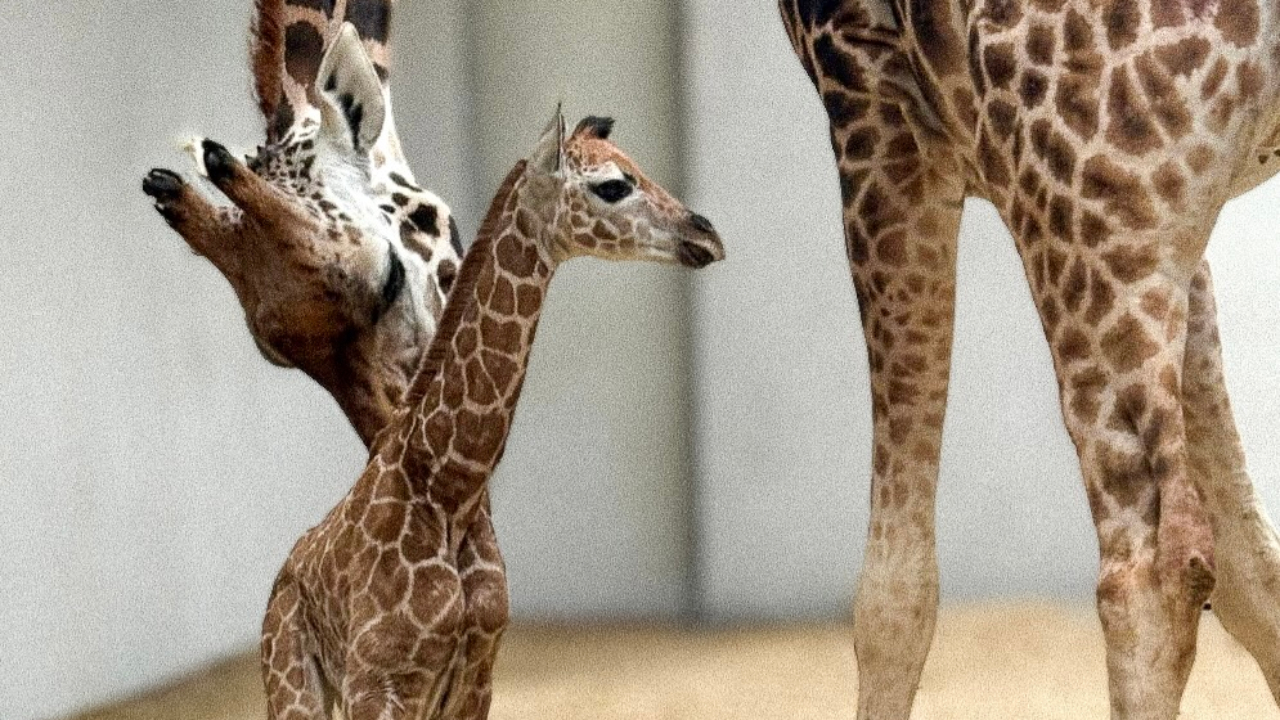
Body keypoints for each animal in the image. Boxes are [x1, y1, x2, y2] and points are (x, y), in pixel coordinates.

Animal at [258, 107, 724, 720]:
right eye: (613, 186)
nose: (707, 235)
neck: (450, 490)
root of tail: (282, 576)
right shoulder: (378, 683)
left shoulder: (477, 676)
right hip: (293, 683)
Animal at [777, 1, 1280, 718]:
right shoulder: (1178, 221)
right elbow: (1254, 569)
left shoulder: (867, 92)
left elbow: (893, 594)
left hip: (1079, 194)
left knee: (1144, 578)